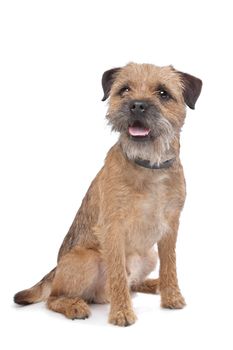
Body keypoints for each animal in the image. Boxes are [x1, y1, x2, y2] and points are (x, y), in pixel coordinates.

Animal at [14, 62, 202, 326]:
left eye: (163, 93)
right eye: (125, 90)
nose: (137, 105)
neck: (148, 166)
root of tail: (55, 271)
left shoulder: (170, 226)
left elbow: (170, 264)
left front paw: (172, 295)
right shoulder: (113, 228)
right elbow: (117, 273)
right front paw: (122, 313)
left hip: (149, 255)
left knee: (134, 283)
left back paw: (154, 284)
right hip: (87, 259)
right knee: (54, 298)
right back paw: (75, 305)